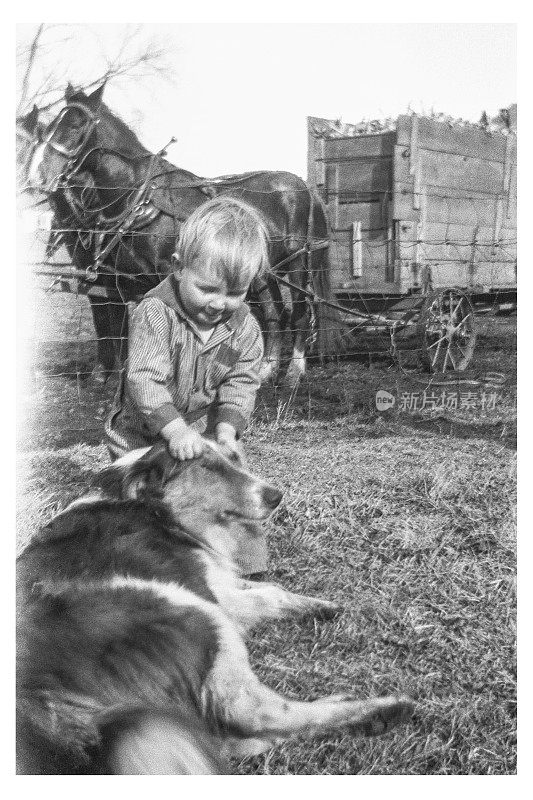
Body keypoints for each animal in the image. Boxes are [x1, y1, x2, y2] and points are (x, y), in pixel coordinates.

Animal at [14, 440, 412, 772]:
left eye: (233, 458)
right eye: (206, 466)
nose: (276, 496)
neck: (154, 507)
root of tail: (40, 706)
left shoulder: (216, 580)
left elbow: (271, 587)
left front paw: (319, 605)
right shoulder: (213, 593)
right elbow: (271, 593)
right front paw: (320, 606)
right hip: (193, 611)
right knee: (252, 714)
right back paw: (379, 711)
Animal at [26, 83, 340, 384]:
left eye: (75, 124)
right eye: (50, 125)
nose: (37, 176)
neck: (140, 198)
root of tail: (305, 187)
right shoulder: (123, 280)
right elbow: (124, 329)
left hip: (299, 262)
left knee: (299, 313)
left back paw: (295, 370)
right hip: (265, 273)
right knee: (276, 314)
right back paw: (267, 369)